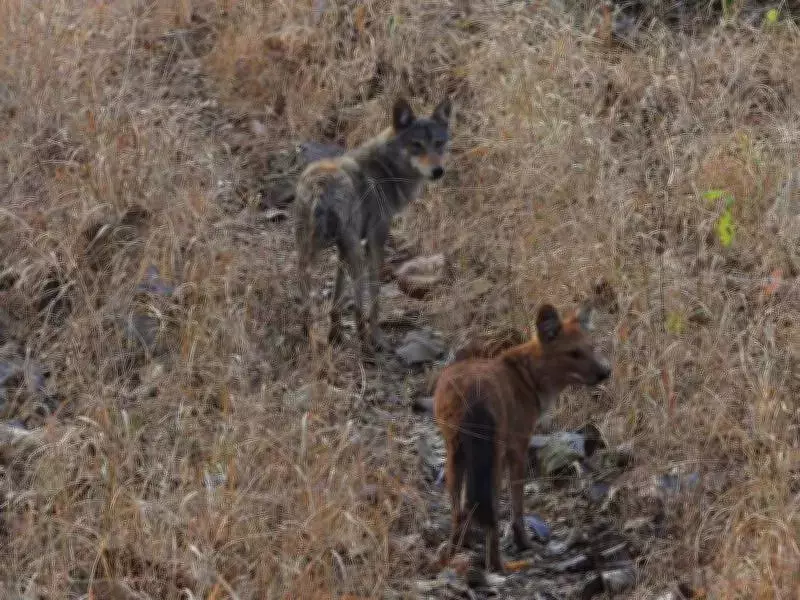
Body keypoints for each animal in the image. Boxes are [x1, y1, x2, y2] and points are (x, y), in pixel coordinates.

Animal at [294, 96, 452, 352]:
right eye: (416, 145)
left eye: (438, 143)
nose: (438, 171)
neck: (386, 169)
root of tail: (319, 186)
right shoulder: (374, 240)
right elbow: (374, 294)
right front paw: (378, 336)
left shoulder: (343, 249)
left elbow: (338, 294)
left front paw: (335, 333)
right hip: (355, 253)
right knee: (359, 302)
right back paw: (366, 343)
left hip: (310, 255)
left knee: (306, 297)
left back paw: (311, 336)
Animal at [433, 304, 612, 572]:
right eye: (573, 353)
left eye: (590, 348)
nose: (605, 372)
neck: (526, 377)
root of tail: (475, 391)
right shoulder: (517, 447)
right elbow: (517, 506)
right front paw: (524, 542)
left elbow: (468, 505)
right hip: (493, 458)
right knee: (491, 512)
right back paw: (497, 565)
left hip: (455, 455)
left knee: (459, 510)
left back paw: (452, 555)